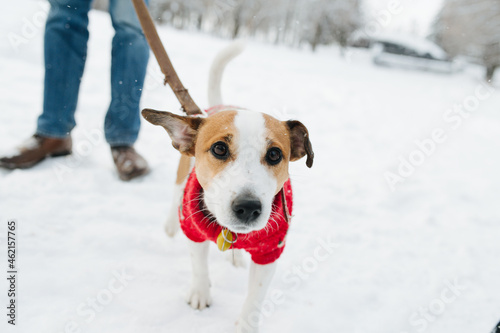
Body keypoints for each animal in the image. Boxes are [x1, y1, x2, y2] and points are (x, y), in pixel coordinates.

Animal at [142, 42, 312, 330]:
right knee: (176, 193)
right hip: (182, 174)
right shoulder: (195, 231)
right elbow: (199, 265)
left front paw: (247, 325)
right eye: (219, 149)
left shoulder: (270, 251)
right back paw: (171, 224)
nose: (248, 207)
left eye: (275, 154)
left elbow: (256, 295)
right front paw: (200, 293)